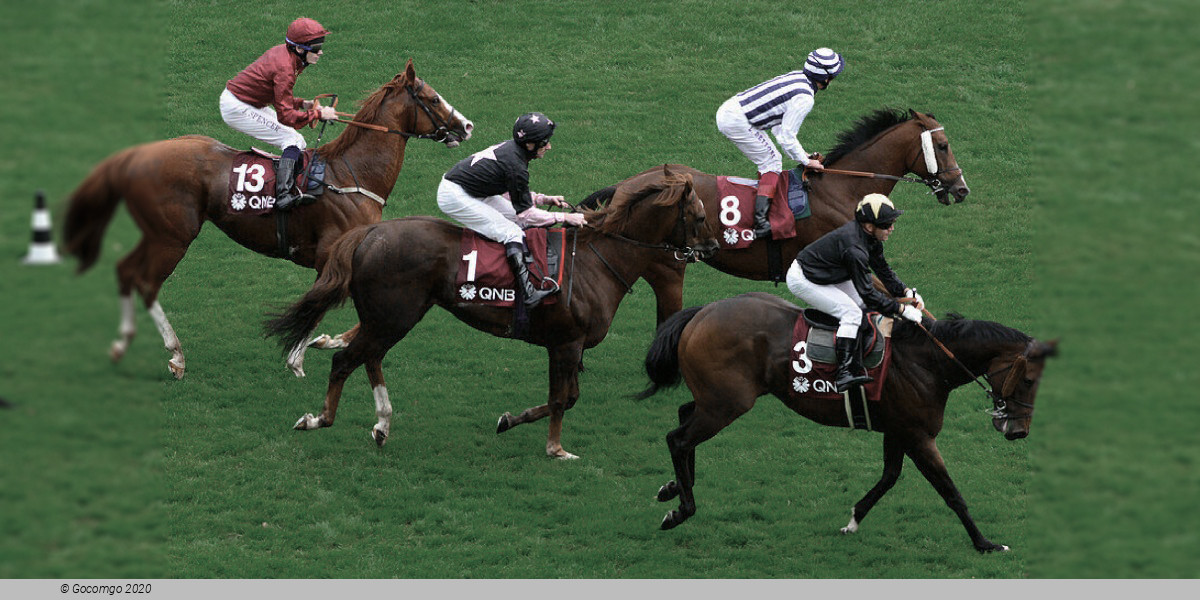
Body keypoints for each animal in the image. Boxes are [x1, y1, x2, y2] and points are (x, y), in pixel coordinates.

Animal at [63, 59, 470, 379]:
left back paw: (122, 344)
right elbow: (319, 305)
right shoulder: (333, 257)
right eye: (433, 98)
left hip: (157, 233)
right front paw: (298, 357)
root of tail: (138, 154)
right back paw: (176, 356)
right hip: (173, 236)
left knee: (126, 271)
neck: (351, 175)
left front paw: (321, 344)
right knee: (146, 282)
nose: (466, 126)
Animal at [265, 169, 710, 458]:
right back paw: (320, 419)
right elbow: (562, 399)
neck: (596, 262)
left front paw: (510, 420)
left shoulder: (567, 347)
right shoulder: (566, 344)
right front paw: (555, 448)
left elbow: (566, 397)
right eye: (701, 216)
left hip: (391, 317)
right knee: (346, 360)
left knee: (369, 357)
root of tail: (370, 233)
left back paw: (382, 423)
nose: (707, 249)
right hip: (393, 316)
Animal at [638, 291, 1060, 552]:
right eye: (1028, 380)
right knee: (678, 438)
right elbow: (950, 492)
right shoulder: (919, 436)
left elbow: (889, 477)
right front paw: (985, 543)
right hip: (727, 404)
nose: (1018, 430)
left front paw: (854, 520)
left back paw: (673, 487)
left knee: (684, 419)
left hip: (718, 399)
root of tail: (702, 312)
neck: (929, 361)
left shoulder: (898, 430)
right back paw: (681, 509)